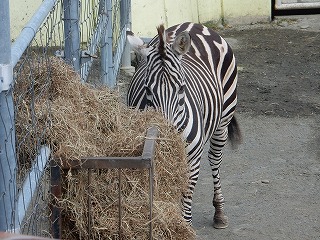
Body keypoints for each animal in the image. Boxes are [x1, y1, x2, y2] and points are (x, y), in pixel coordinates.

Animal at [126, 22, 241, 229]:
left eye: (181, 88)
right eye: (147, 89)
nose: (167, 138)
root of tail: (193, 24)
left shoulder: (193, 159)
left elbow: (186, 193)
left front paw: (185, 225)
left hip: (224, 117)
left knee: (215, 159)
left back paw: (219, 212)